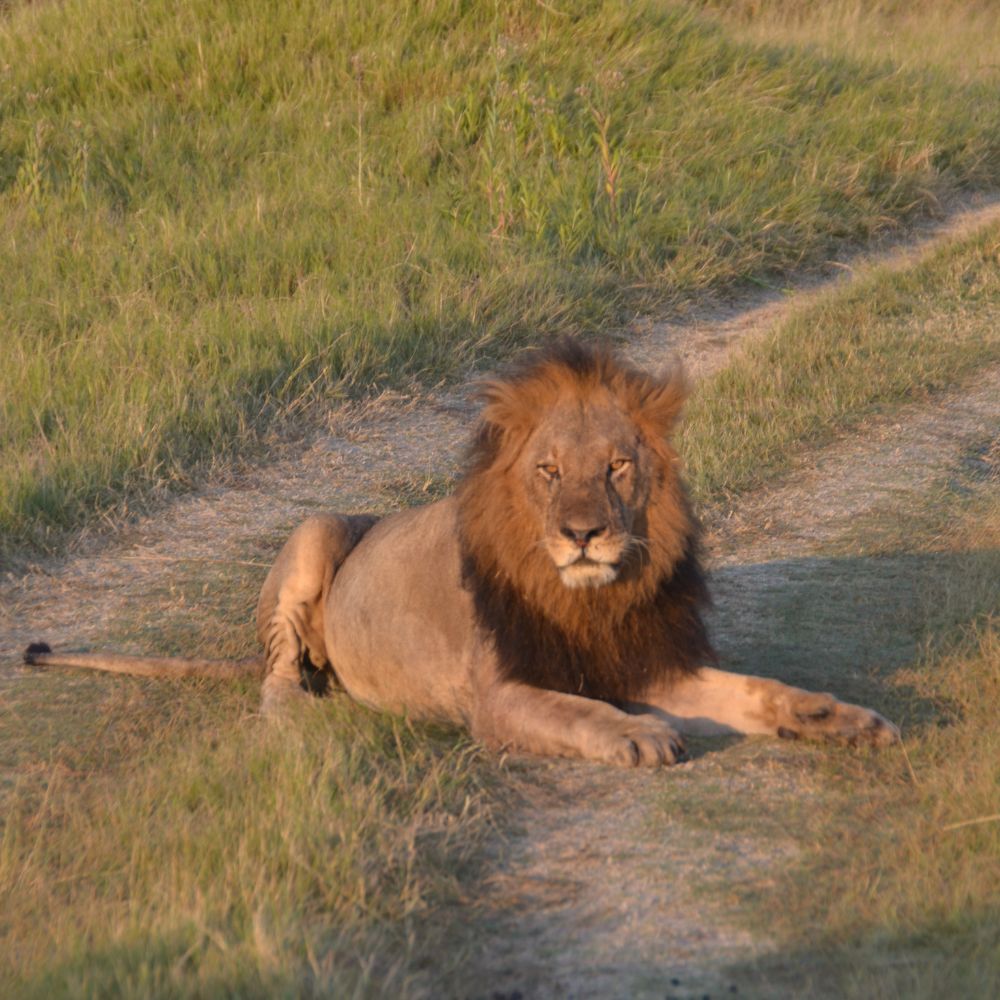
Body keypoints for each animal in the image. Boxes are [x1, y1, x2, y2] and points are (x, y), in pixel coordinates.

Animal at [26, 340, 898, 765]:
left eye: (616, 466)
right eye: (549, 472)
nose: (585, 533)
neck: (586, 600)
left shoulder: (648, 665)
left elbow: (755, 690)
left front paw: (837, 717)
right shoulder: (498, 695)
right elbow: (573, 709)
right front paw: (637, 735)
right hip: (315, 530)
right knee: (276, 674)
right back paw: (304, 709)